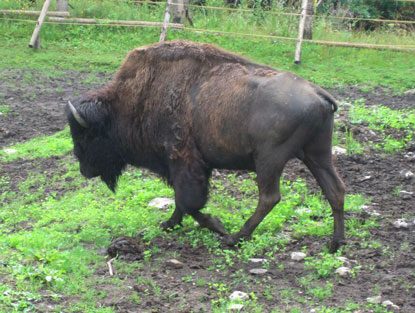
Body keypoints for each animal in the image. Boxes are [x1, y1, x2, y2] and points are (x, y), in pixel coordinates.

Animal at [68, 40, 346, 252]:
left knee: (269, 197)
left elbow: (189, 202)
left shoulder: (184, 161)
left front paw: (218, 226)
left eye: (87, 136)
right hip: (316, 154)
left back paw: (235, 238)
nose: (84, 170)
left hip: (270, 160)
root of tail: (319, 93)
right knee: (335, 189)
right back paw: (335, 244)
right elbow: (180, 200)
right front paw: (169, 224)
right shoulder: (181, 167)